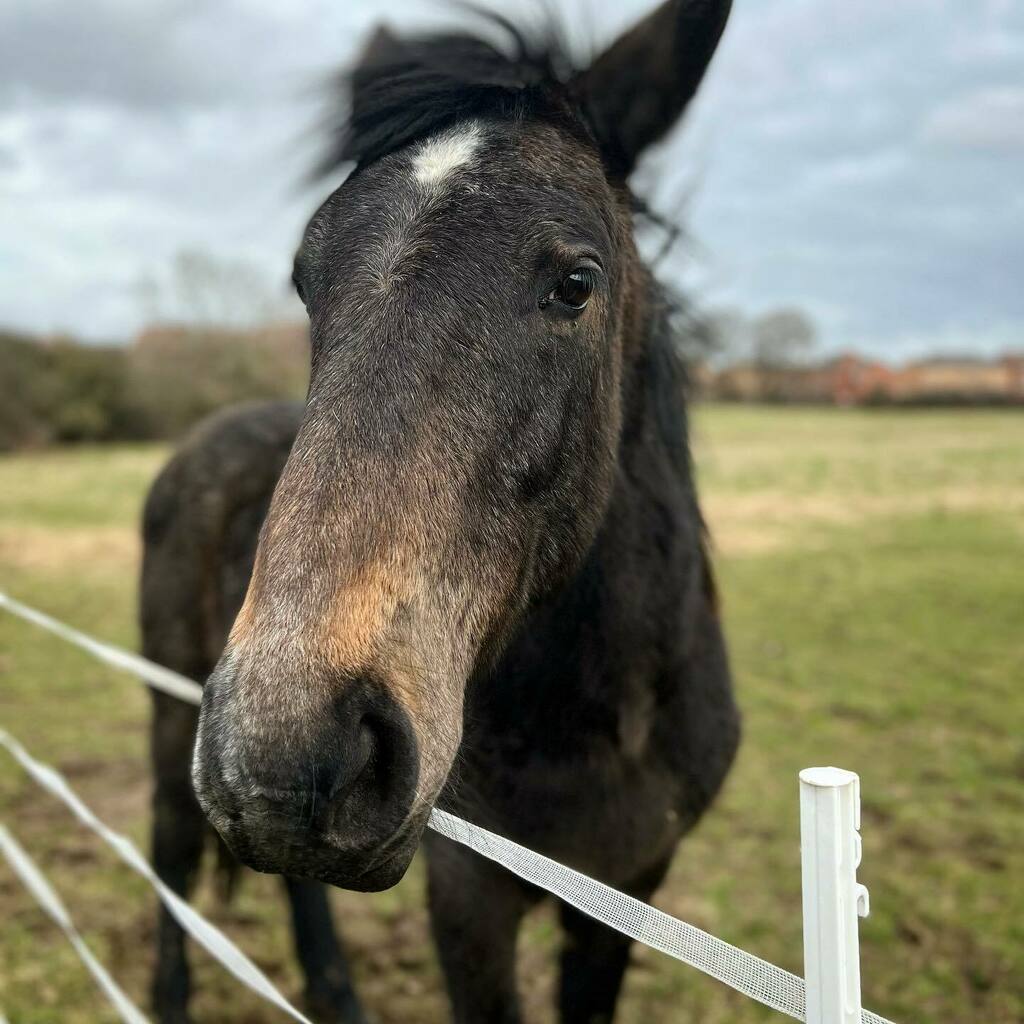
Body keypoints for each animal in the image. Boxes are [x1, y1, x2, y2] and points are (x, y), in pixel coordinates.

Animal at [155, 1, 742, 1020]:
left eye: (576, 283)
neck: (598, 723)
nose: (281, 751)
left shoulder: (631, 893)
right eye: (305, 281)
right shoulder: (467, 901)